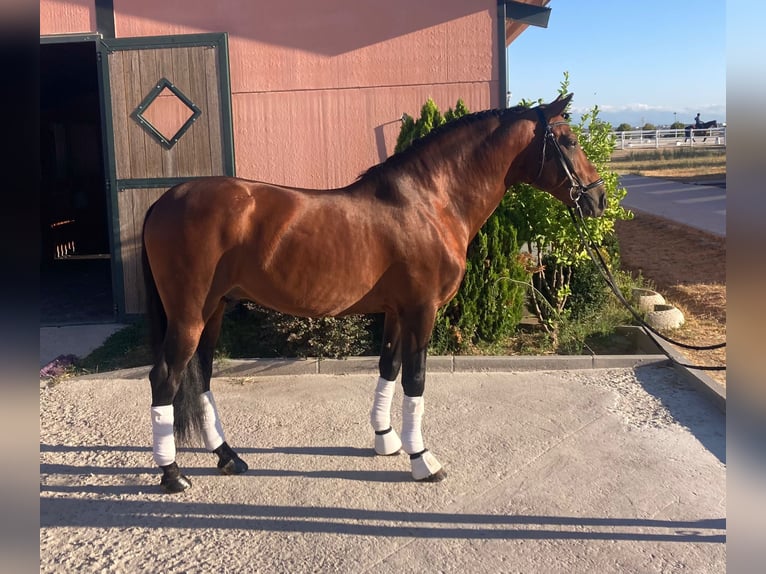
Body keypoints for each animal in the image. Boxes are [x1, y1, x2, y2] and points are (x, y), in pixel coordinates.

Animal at [141, 93, 606, 493]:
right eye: (569, 140)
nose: (598, 199)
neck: (430, 202)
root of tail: (163, 201)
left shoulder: (397, 311)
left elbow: (388, 368)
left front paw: (386, 440)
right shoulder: (422, 310)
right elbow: (415, 379)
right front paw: (423, 460)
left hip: (214, 310)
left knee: (201, 377)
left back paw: (227, 457)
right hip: (189, 315)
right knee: (165, 378)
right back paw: (173, 474)